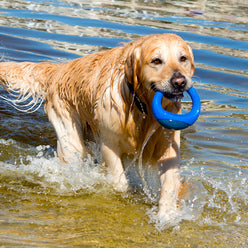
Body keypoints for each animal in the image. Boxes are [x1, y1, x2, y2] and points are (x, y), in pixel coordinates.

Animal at [0, 33, 195, 217]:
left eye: (182, 58)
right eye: (156, 60)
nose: (179, 81)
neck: (141, 108)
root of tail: (59, 69)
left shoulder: (166, 145)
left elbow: (170, 184)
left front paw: (166, 215)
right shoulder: (109, 143)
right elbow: (120, 183)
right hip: (70, 137)